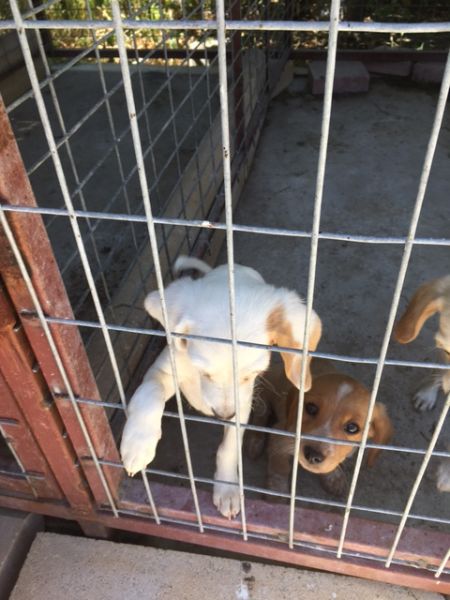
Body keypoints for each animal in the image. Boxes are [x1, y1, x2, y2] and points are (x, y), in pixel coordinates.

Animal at [120, 256, 322, 518]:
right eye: (204, 372)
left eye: (252, 375)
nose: (224, 416)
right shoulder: (163, 370)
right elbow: (149, 394)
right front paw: (138, 443)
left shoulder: (243, 405)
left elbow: (229, 449)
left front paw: (227, 488)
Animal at [246, 360, 393, 497]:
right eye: (311, 408)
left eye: (352, 427)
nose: (313, 456)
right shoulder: (279, 437)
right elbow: (279, 468)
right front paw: (276, 494)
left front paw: (333, 477)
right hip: (264, 393)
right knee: (260, 416)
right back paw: (255, 443)